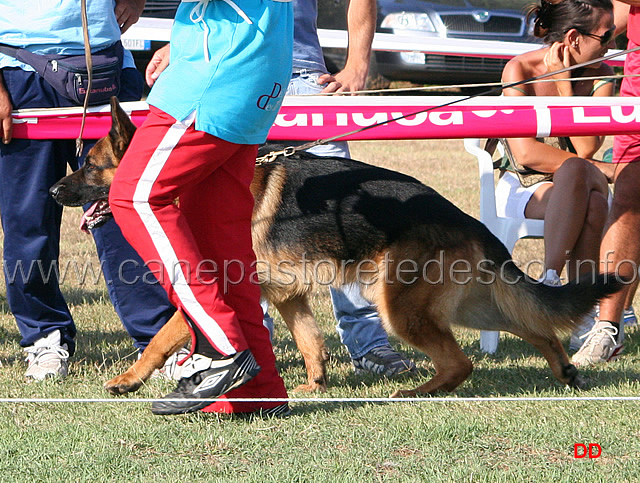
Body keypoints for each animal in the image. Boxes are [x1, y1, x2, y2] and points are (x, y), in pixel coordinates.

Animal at [50, 98, 620, 398]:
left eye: (90, 165)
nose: (54, 192)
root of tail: (462, 216)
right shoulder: (287, 296)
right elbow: (309, 341)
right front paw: (313, 386)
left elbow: (162, 338)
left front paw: (127, 380)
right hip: (466, 304)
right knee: (535, 328)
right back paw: (563, 370)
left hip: (399, 309)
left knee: (461, 362)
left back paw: (417, 393)